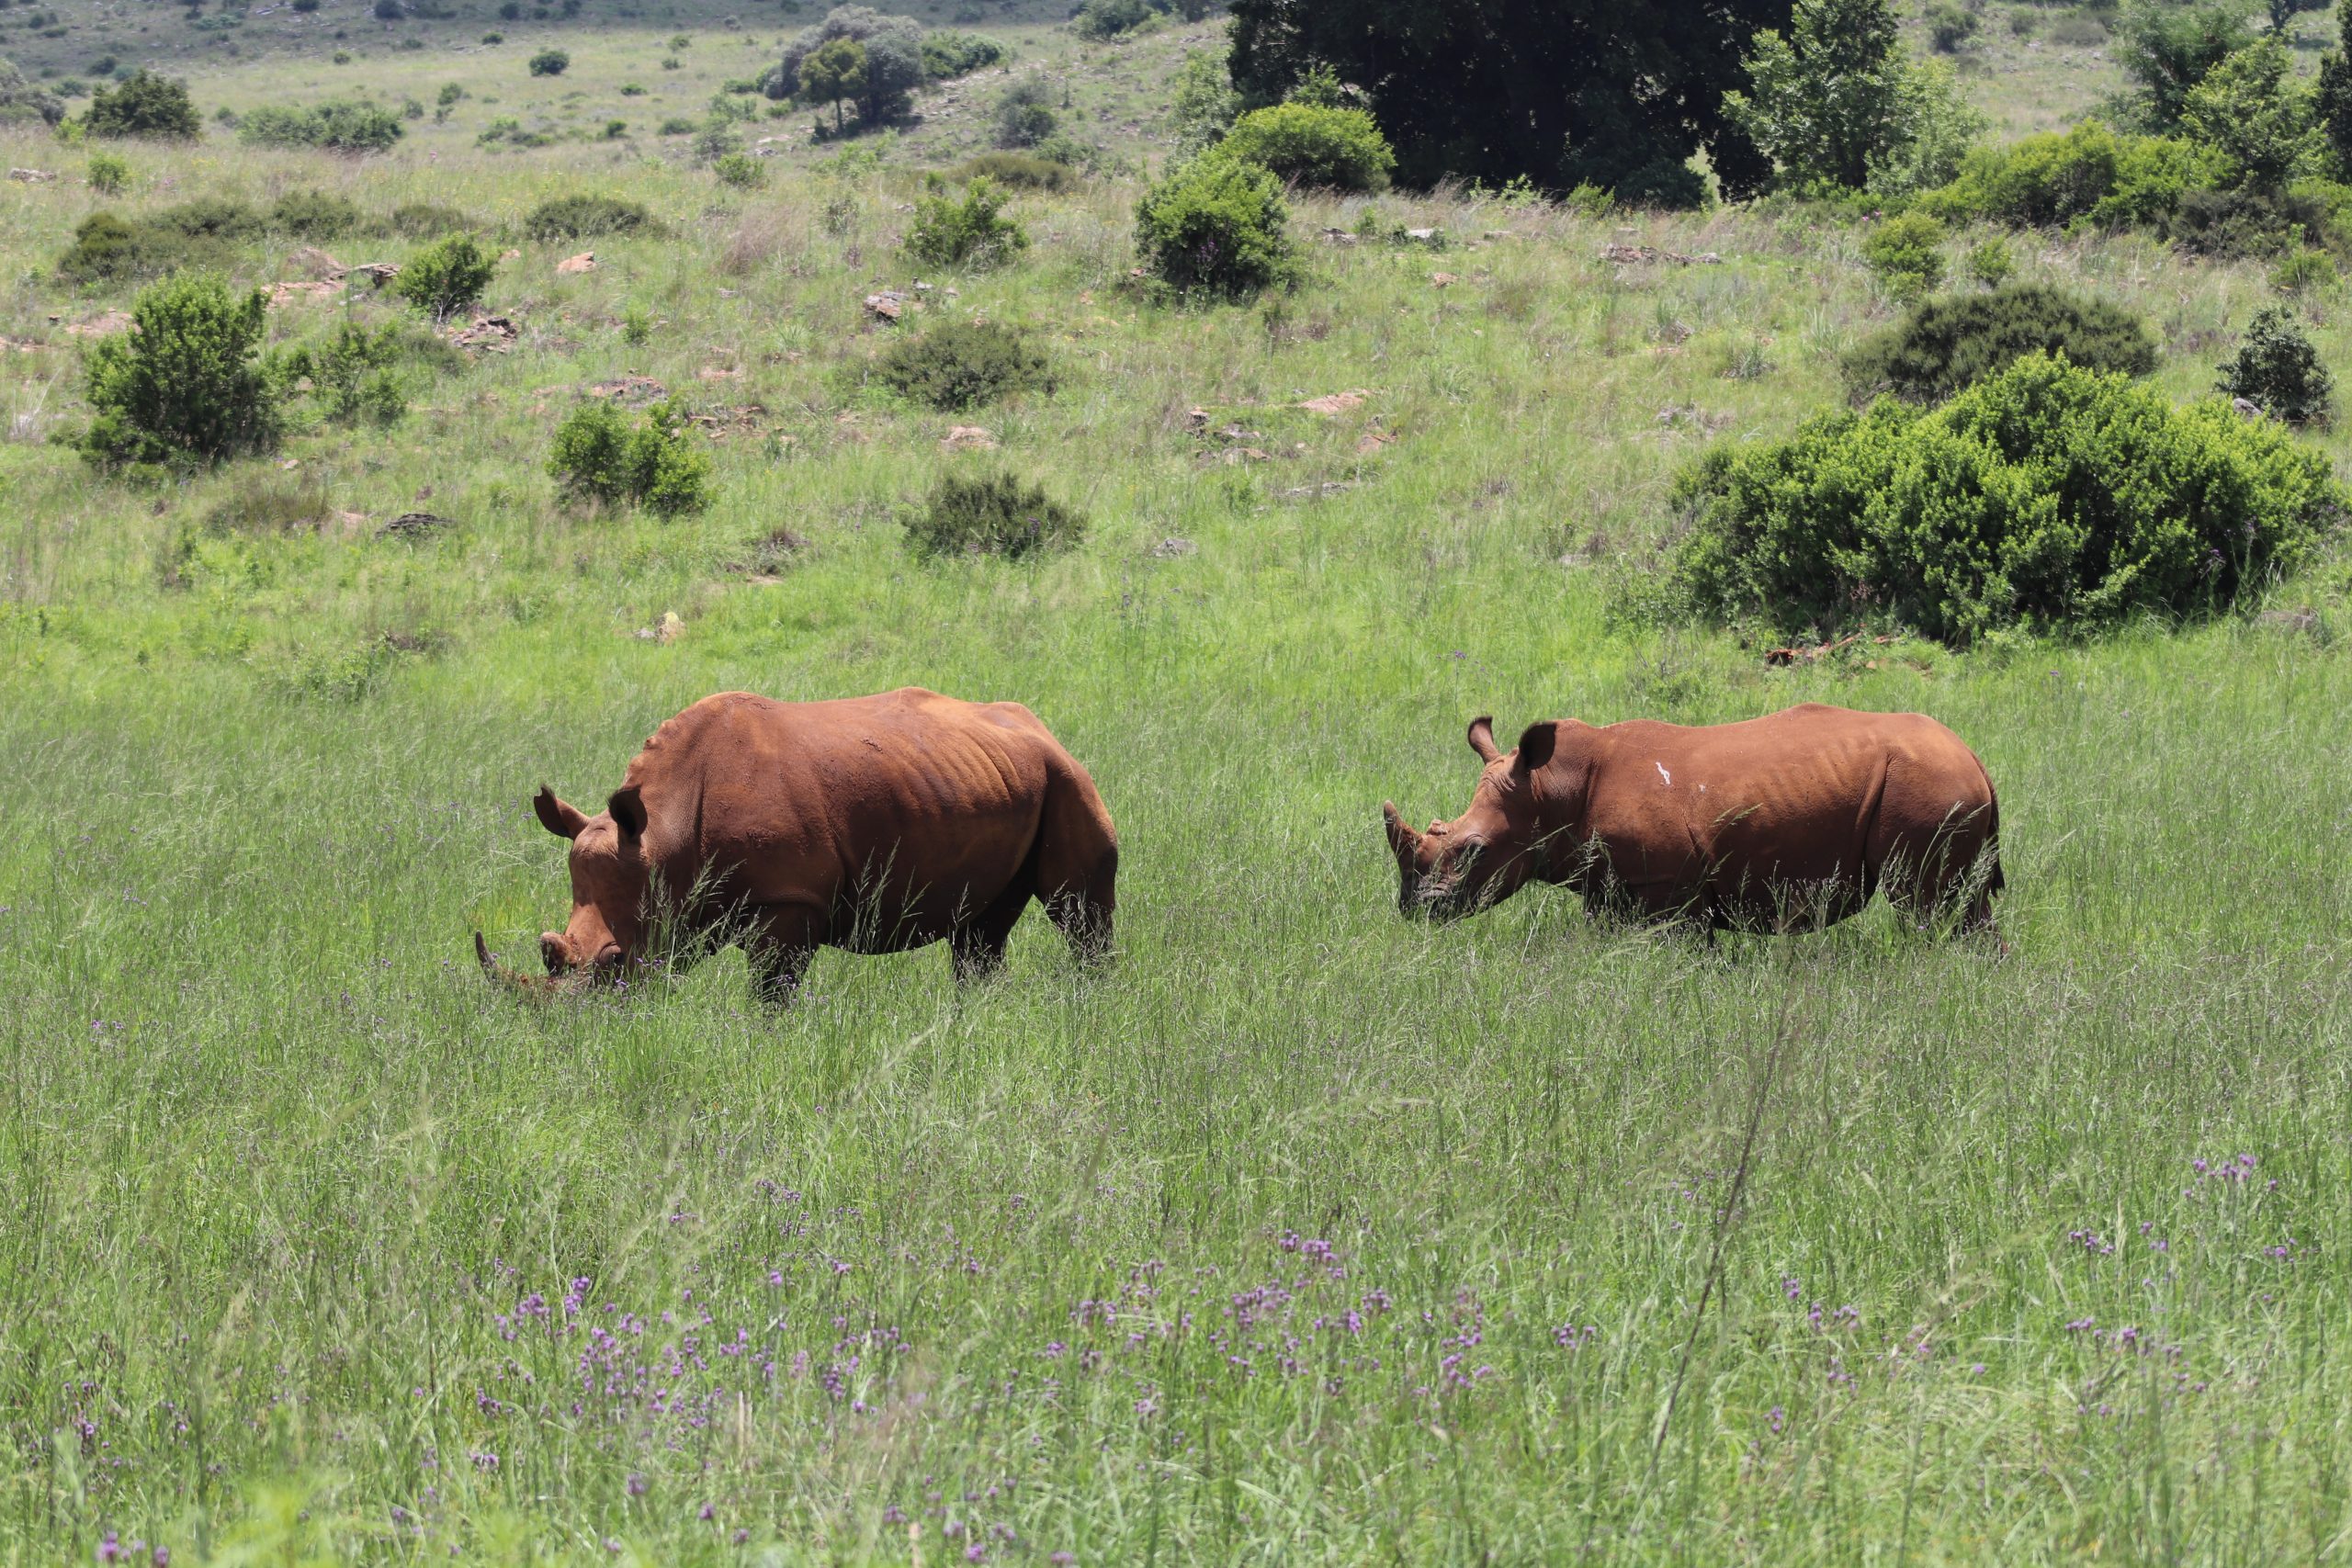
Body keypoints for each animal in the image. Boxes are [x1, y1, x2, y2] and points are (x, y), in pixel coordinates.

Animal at [477, 686, 1119, 1006]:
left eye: (615, 962)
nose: (570, 1024)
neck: (664, 831)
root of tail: (1042, 728)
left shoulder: (790, 899)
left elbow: (771, 994)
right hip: (997, 779)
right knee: (981, 932)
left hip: (1067, 778)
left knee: (1078, 911)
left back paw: (1095, 1003)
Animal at [1374, 700, 2004, 944]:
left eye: (1474, 850)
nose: (1415, 910)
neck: (1550, 788)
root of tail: (1974, 756)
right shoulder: (1612, 881)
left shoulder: (1669, 886)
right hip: (1939, 782)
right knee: (1967, 901)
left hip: (1926, 786)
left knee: (1921, 901)